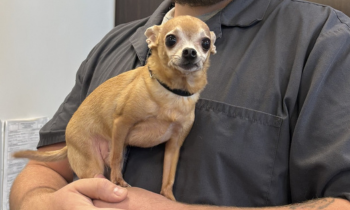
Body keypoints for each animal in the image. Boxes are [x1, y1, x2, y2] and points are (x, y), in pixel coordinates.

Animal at [13, 16, 216, 200]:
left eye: (206, 43)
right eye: (171, 39)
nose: (190, 52)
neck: (173, 92)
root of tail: (68, 142)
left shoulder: (174, 144)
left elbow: (169, 175)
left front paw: (168, 196)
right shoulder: (121, 124)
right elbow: (117, 158)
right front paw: (118, 181)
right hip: (91, 162)